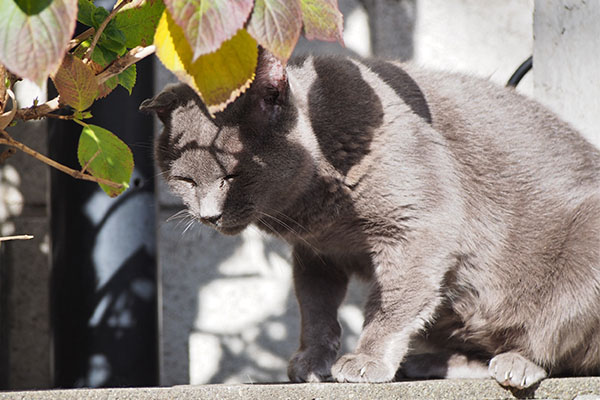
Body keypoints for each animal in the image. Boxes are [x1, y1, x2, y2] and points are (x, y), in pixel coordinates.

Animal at [142, 48, 600, 390]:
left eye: (231, 175)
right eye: (184, 179)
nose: (208, 214)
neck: (319, 209)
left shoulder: (420, 224)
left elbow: (392, 302)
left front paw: (365, 360)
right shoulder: (315, 254)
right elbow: (315, 308)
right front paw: (311, 362)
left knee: (555, 345)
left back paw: (515, 364)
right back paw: (432, 364)